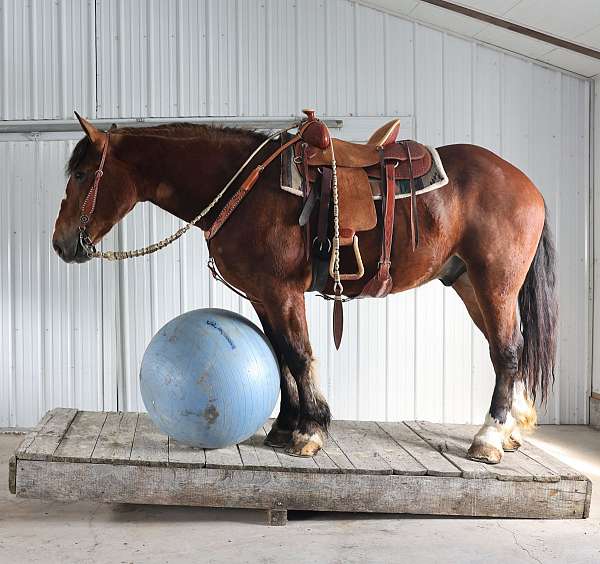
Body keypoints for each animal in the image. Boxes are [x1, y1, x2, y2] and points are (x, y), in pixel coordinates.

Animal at [52, 113, 556, 462]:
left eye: (81, 174)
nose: (61, 243)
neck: (246, 189)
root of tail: (528, 185)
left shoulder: (282, 292)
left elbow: (297, 354)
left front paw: (310, 431)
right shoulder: (262, 295)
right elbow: (278, 355)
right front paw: (284, 427)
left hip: (495, 283)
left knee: (507, 350)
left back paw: (488, 438)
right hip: (469, 283)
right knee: (507, 349)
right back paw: (510, 430)